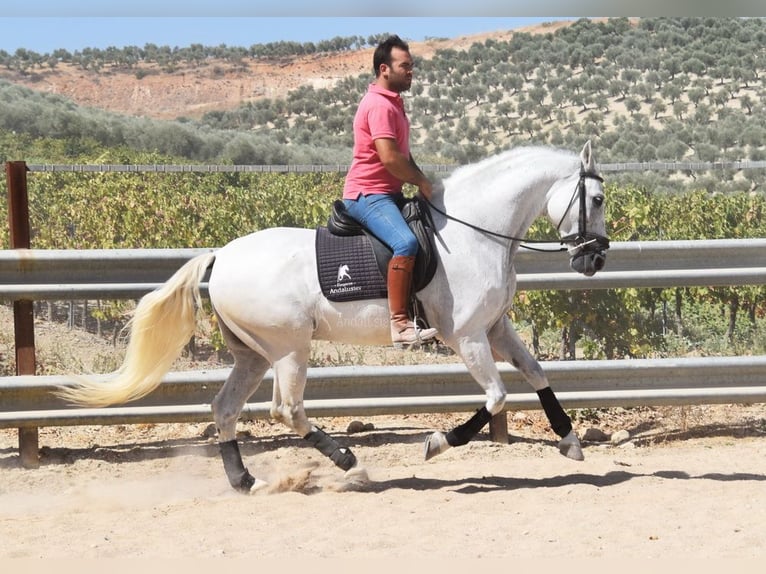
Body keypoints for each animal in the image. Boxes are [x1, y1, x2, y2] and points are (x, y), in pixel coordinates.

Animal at [57, 141, 610, 493]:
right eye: (599, 199)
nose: (595, 259)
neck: (473, 232)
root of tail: (222, 255)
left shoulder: (495, 327)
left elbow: (536, 372)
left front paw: (569, 440)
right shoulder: (469, 336)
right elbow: (495, 397)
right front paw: (435, 443)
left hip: (253, 356)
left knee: (225, 408)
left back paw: (246, 481)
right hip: (289, 349)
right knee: (286, 410)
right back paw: (347, 462)